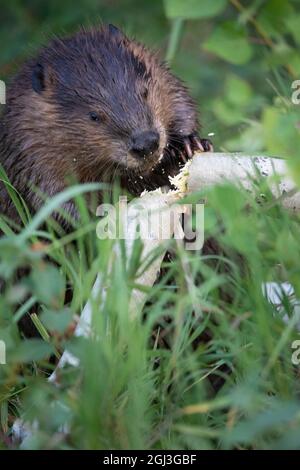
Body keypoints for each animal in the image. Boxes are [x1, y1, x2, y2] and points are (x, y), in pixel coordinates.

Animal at [0, 24, 212, 228]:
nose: (146, 144)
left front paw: (190, 145)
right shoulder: (28, 147)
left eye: (144, 92)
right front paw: (96, 220)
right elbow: (50, 197)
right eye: (94, 116)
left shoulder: (161, 74)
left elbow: (180, 100)